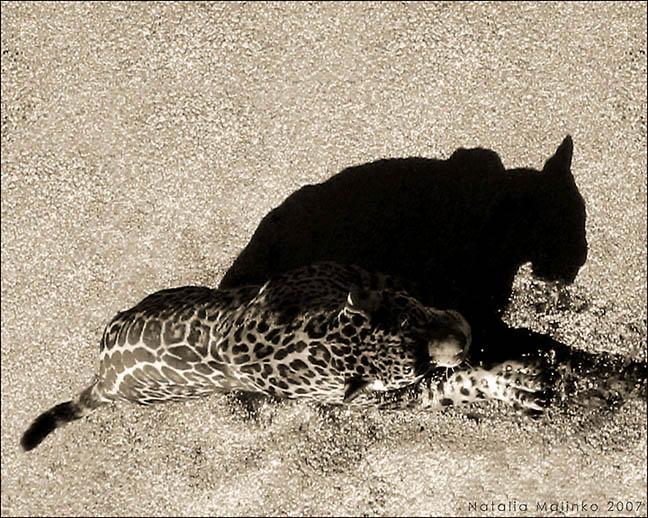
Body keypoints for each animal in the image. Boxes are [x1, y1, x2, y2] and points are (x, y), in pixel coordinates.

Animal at [20, 262, 547, 452]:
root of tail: (104, 380)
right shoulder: (387, 398)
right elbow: (455, 384)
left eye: (408, 314)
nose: (464, 336)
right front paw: (507, 383)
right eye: (409, 366)